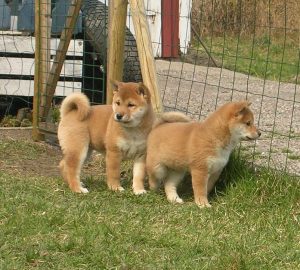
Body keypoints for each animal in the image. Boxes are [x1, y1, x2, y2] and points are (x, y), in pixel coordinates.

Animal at [57, 80, 190, 194]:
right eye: (118, 103)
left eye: (131, 105)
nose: (118, 115)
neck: (133, 130)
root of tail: (69, 112)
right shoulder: (114, 152)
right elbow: (114, 173)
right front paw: (115, 188)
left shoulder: (142, 155)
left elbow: (139, 175)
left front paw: (139, 190)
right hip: (79, 149)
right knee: (71, 168)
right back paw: (77, 188)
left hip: (86, 151)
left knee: (64, 165)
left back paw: (75, 184)